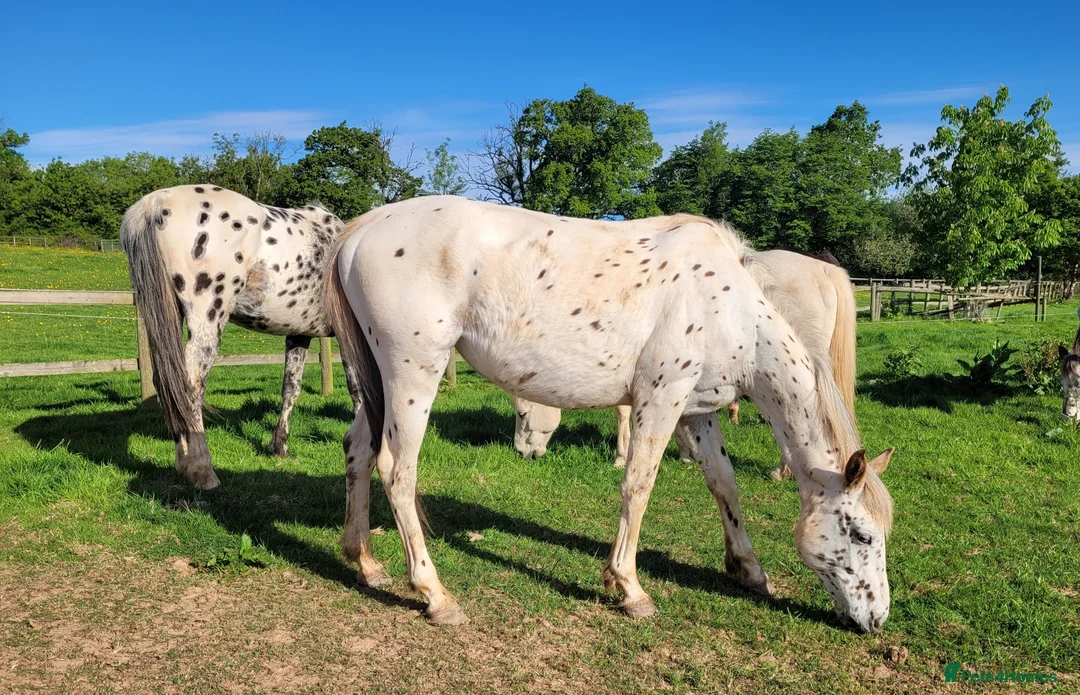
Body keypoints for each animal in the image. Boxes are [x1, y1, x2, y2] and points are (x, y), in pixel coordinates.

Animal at [121, 184, 359, 489]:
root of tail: (156, 203)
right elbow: (357, 390)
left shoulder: (298, 334)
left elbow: (290, 388)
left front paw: (280, 447)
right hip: (207, 319)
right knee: (190, 384)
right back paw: (202, 470)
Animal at [513, 249, 858, 480]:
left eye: (521, 414)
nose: (521, 454)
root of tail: (825, 270)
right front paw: (686, 453)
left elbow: (622, 413)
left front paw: (621, 456)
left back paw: (781, 470)